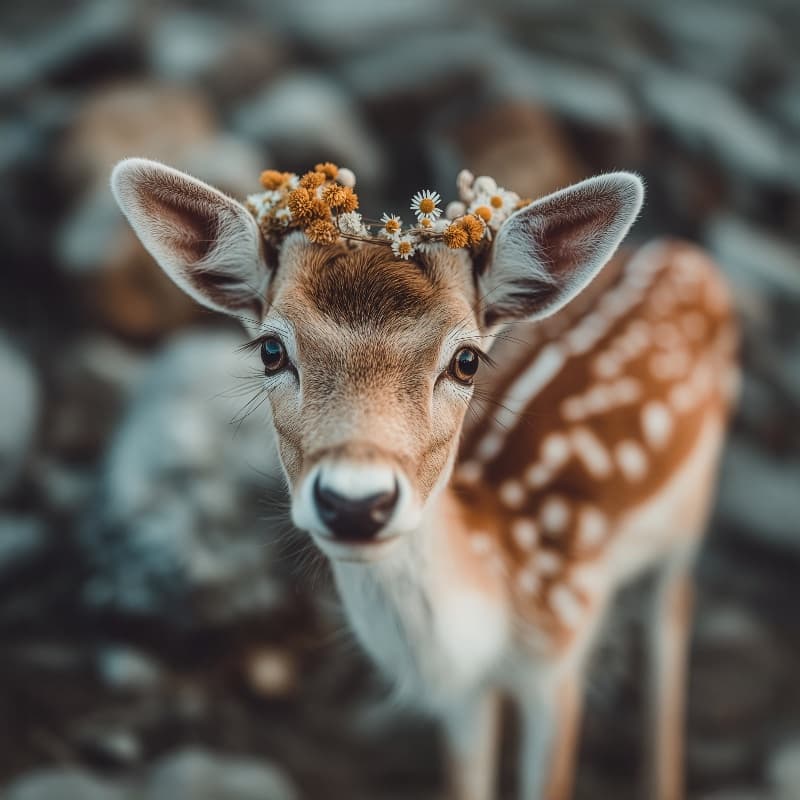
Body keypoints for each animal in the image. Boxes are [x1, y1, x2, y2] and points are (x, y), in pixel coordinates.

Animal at [110, 157, 738, 800]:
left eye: (466, 359)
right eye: (270, 349)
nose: (355, 503)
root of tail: (688, 255)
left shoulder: (559, 651)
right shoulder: (461, 697)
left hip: (695, 499)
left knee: (674, 610)